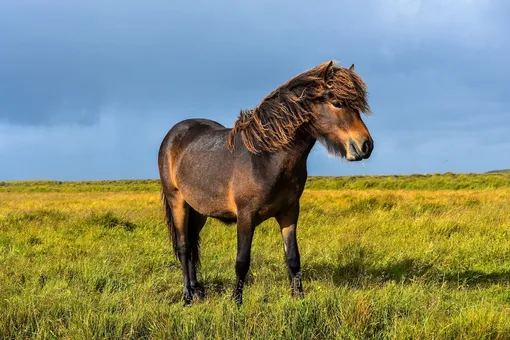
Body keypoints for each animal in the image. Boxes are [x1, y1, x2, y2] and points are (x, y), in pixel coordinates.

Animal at [157, 61, 372, 306]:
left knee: (193, 244)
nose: (366, 145)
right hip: (178, 201)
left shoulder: (289, 212)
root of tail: (173, 134)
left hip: (199, 210)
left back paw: (197, 291)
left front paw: (299, 297)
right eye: (337, 103)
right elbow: (242, 260)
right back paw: (187, 296)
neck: (267, 158)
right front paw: (236, 301)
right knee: (184, 246)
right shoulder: (245, 216)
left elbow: (293, 257)